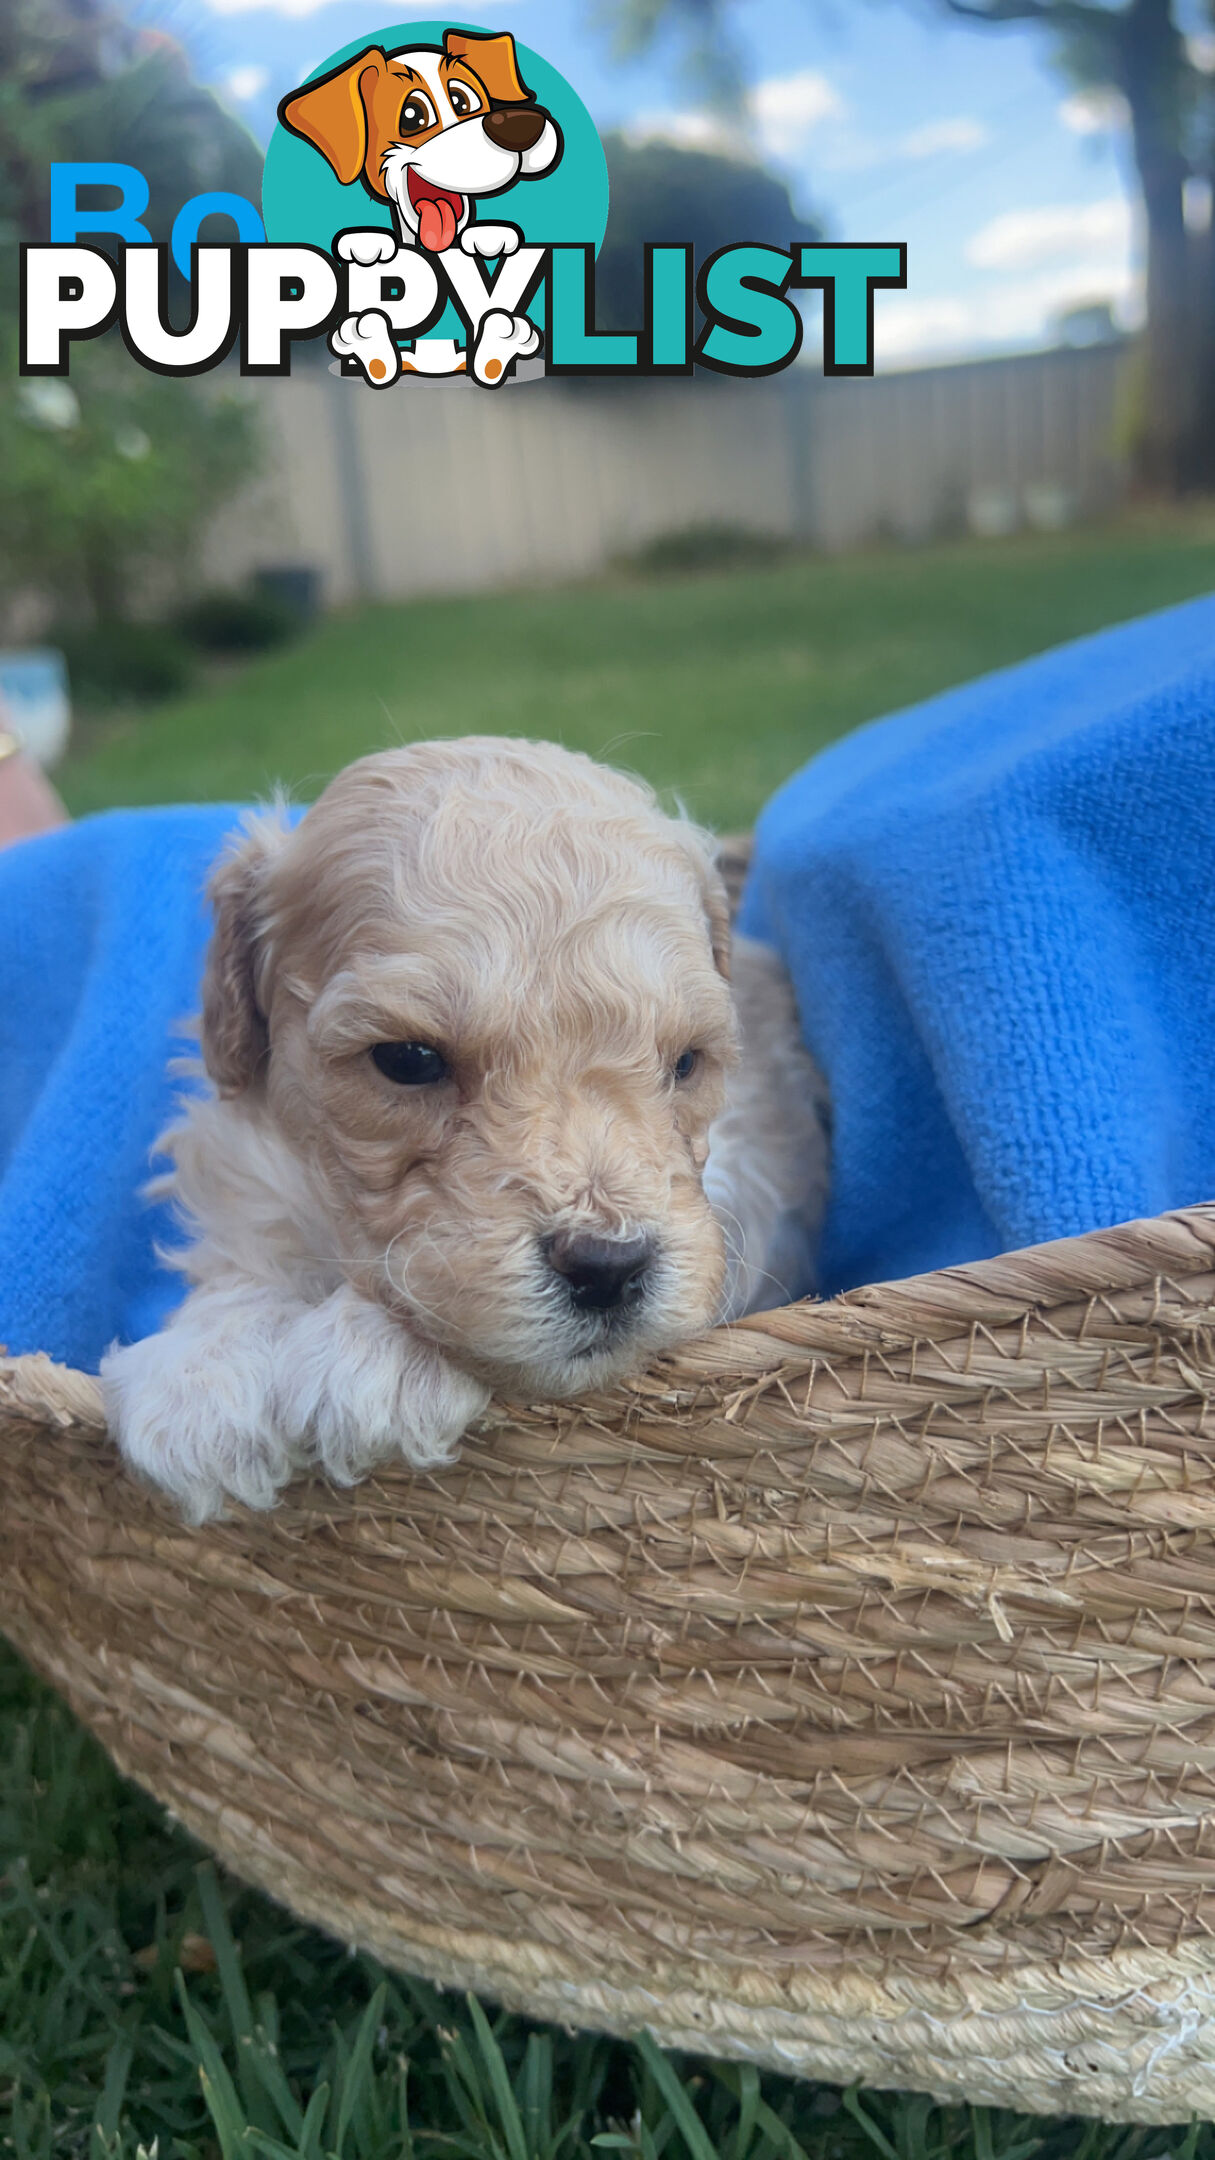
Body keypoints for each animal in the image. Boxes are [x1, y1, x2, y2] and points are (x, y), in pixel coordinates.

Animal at [101, 743, 821, 1520]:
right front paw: (202, 1376)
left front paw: (380, 1352)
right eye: (408, 1060)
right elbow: (248, 1257)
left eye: (685, 1062)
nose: (607, 1266)